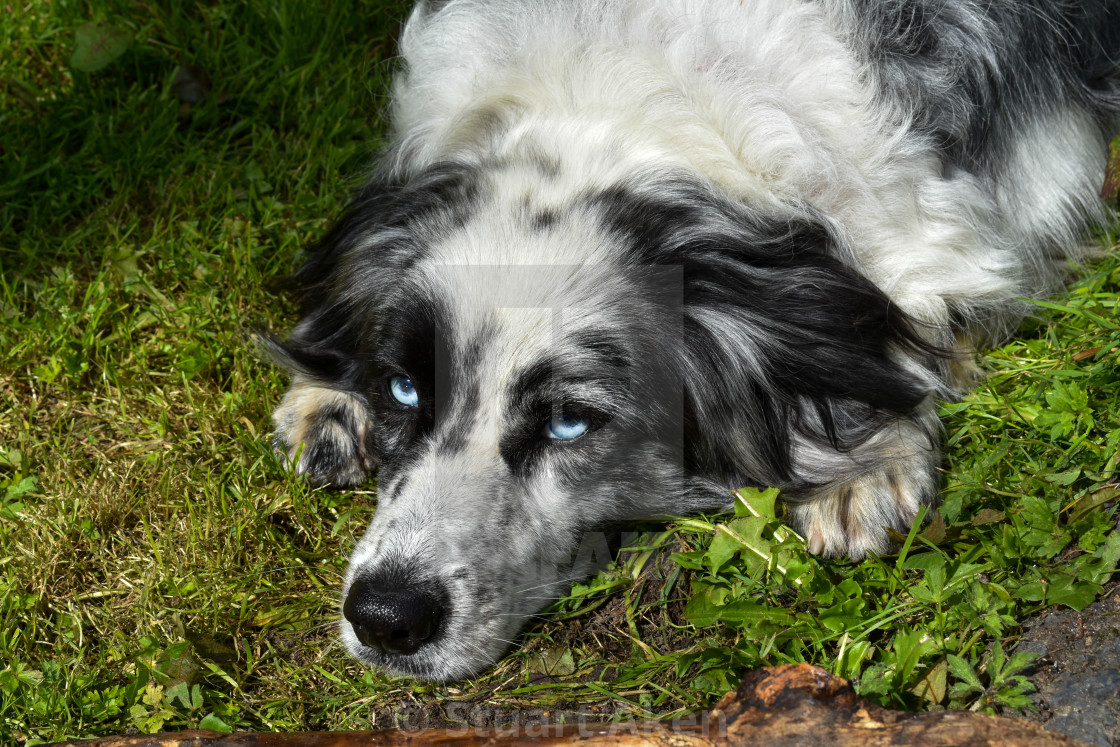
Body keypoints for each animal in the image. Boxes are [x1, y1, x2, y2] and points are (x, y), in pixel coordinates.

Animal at [264, 0, 1120, 680]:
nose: (384, 617)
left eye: (570, 420)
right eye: (403, 386)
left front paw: (866, 461)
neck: (612, 99)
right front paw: (326, 396)